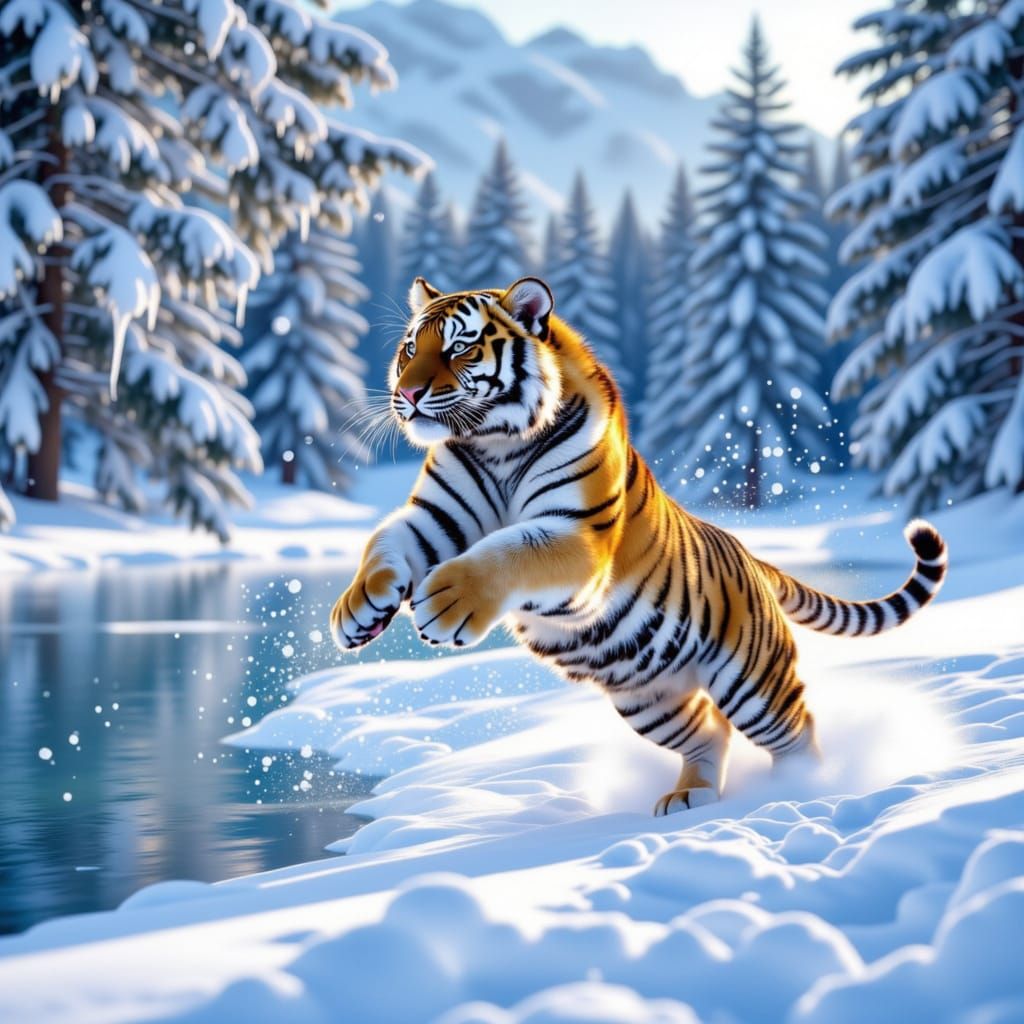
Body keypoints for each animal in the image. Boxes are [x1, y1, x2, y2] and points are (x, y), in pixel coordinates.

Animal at [331, 276, 948, 815]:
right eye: (411, 348)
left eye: (460, 347)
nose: (406, 393)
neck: (493, 444)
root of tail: (752, 557)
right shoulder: (435, 518)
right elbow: (382, 545)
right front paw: (356, 612)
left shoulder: (576, 538)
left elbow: (510, 549)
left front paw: (447, 603)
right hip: (648, 697)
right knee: (710, 731)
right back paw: (690, 796)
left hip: (751, 681)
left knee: (797, 731)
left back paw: (803, 790)